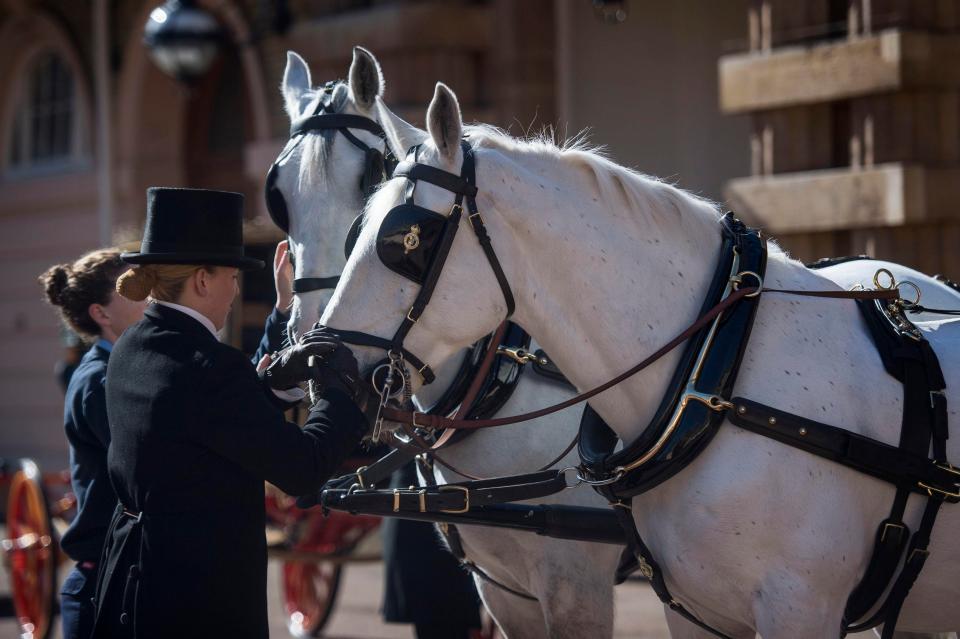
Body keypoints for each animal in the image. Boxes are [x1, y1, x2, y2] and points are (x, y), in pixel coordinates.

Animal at [320, 81, 960, 639]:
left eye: (407, 239)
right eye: (356, 231)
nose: (316, 365)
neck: (714, 374)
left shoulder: (792, 607)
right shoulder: (685, 610)